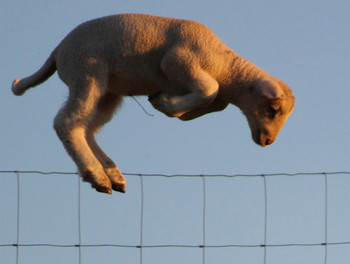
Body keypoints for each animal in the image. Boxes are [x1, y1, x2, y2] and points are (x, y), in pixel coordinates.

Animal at [11, 13, 296, 194]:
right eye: (273, 109)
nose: (267, 141)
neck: (226, 68)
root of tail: (58, 50)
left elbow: (208, 100)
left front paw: (166, 103)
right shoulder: (178, 61)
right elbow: (209, 89)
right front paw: (164, 104)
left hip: (108, 90)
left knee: (88, 128)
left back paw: (111, 175)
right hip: (86, 72)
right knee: (67, 122)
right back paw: (95, 173)